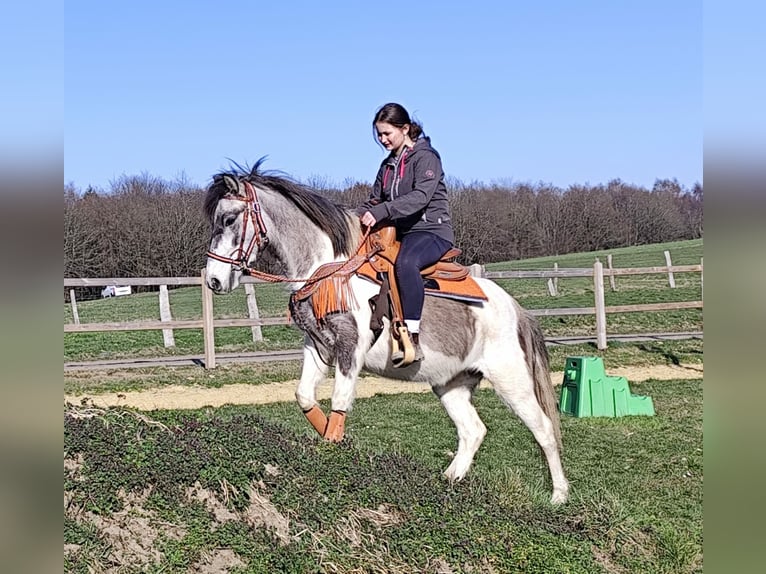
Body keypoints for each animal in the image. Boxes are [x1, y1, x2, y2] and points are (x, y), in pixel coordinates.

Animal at [203, 161, 569, 504]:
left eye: (230, 219)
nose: (214, 280)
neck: (329, 268)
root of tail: (516, 309)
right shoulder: (317, 346)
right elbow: (305, 396)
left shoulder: (350, 349)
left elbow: (339, 402)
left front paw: (333, 447)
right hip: (451, 384)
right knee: (473, 431)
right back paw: (449, 481)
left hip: (512, 381)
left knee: (544, 430)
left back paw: (559, 495)